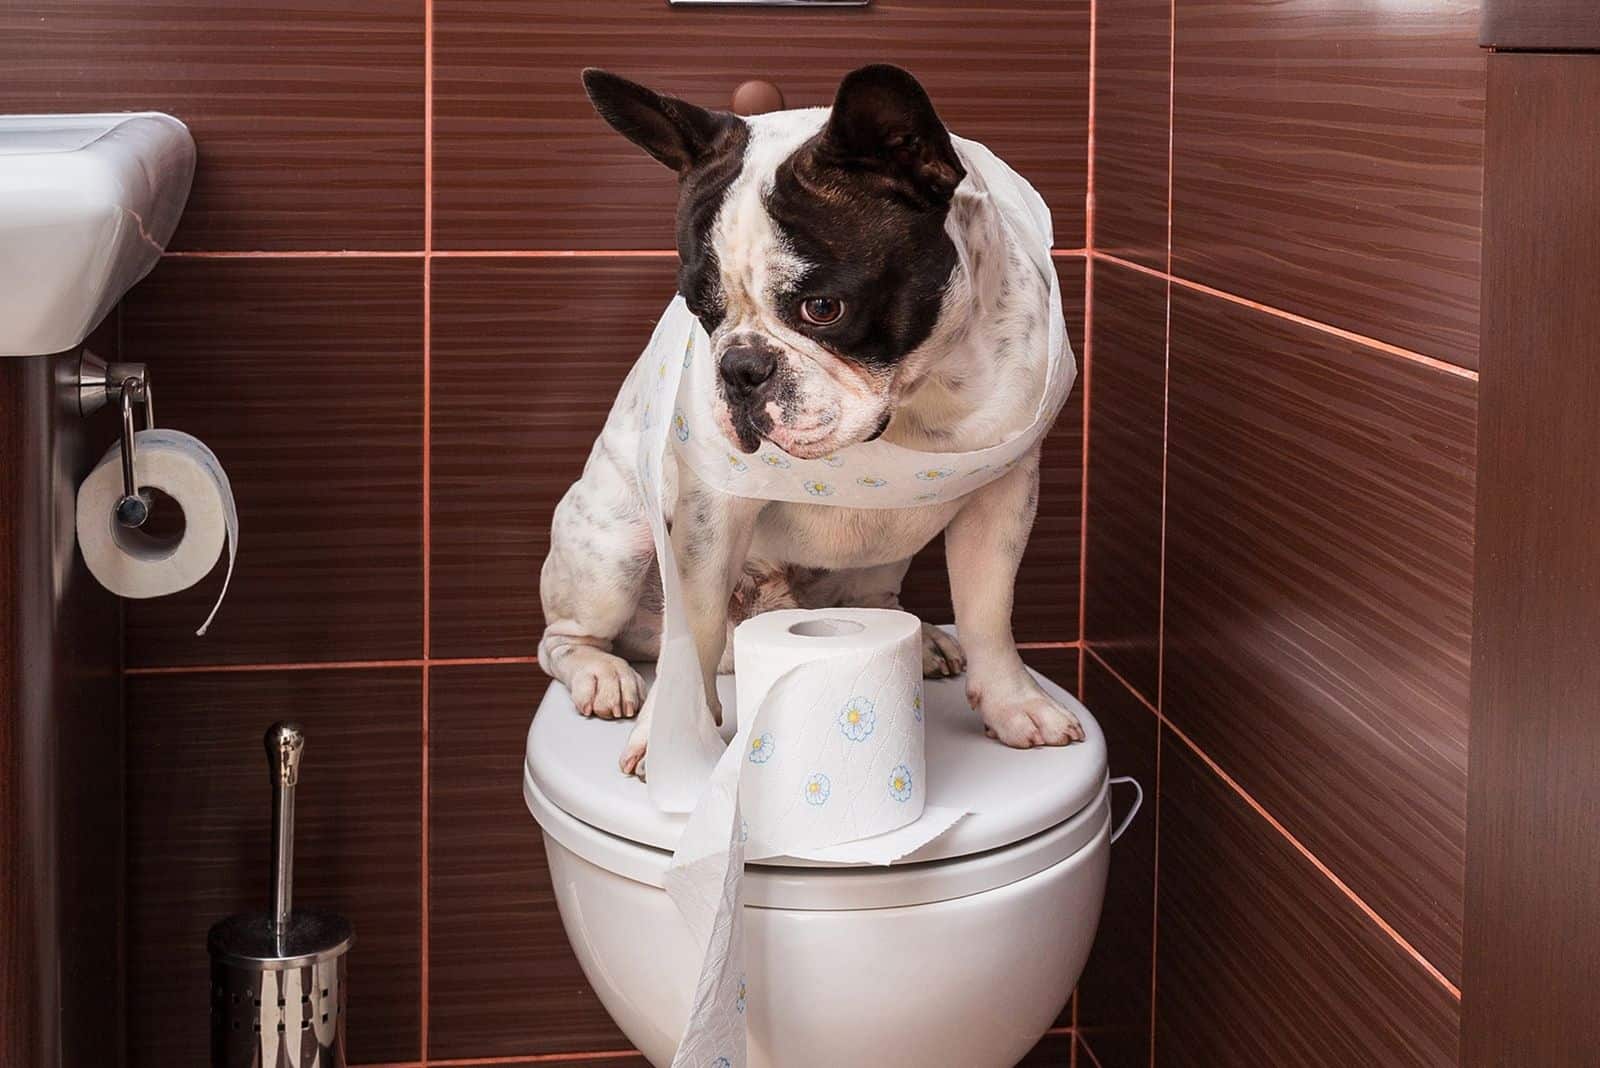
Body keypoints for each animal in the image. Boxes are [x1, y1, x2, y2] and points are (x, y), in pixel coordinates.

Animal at [540, 64, 1088, 777]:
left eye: (822, 308)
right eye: (700, 309)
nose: (740, 367)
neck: (915, 396)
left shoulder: (1003, 491)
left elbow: (989, 612)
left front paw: (1013, 704)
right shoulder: (713, 512)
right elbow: (696, 620)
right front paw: (667, 738)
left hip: (879, 565)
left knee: (873, 605)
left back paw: (924, 640)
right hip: (615, 548)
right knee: (568, 638)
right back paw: (601, 674)